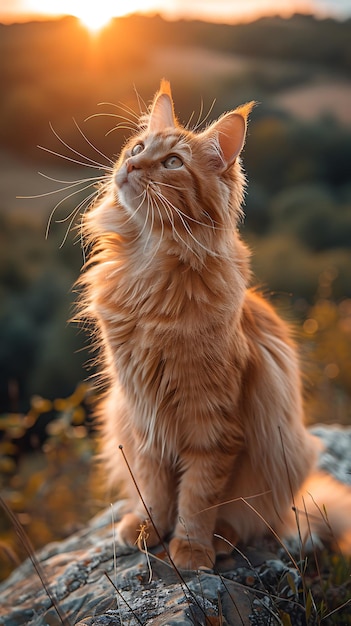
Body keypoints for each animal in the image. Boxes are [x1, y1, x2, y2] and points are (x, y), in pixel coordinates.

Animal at [79, 80, 351, 568]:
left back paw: (223, 538)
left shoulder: (214, 422)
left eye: (172, 162)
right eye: (138, 147)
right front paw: (148, 526)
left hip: (288, 456)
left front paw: (190, 546)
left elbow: (199, 494)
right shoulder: (142, 413)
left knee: (259, 521)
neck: (148, 272)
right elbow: (152, 485)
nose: (131, 164)